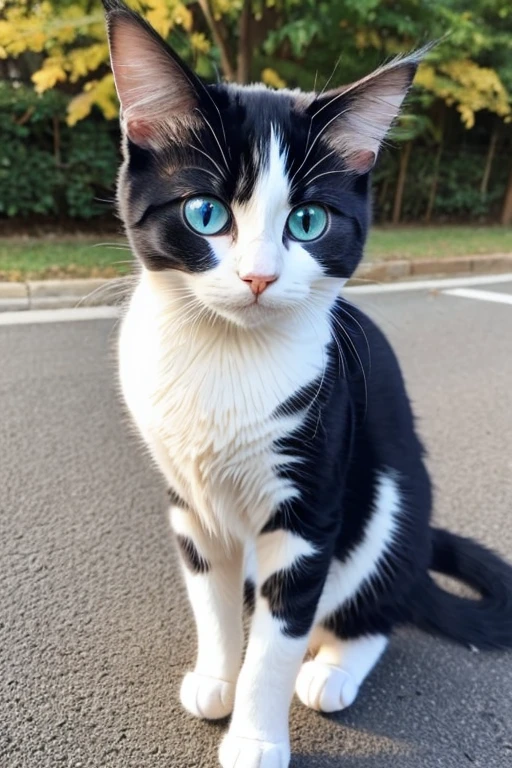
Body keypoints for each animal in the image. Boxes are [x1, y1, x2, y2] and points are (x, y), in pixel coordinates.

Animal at [101, 3, 512, 764]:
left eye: (309, 221)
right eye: (205, 213)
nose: (259, 276)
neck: (224, 358)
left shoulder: (311, 503)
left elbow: (277, 643)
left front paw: (255, 737)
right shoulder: (187, 504)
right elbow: (211, 604)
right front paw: (216, 679)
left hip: (390, 499)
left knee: (376, 606)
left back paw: (333, 669)